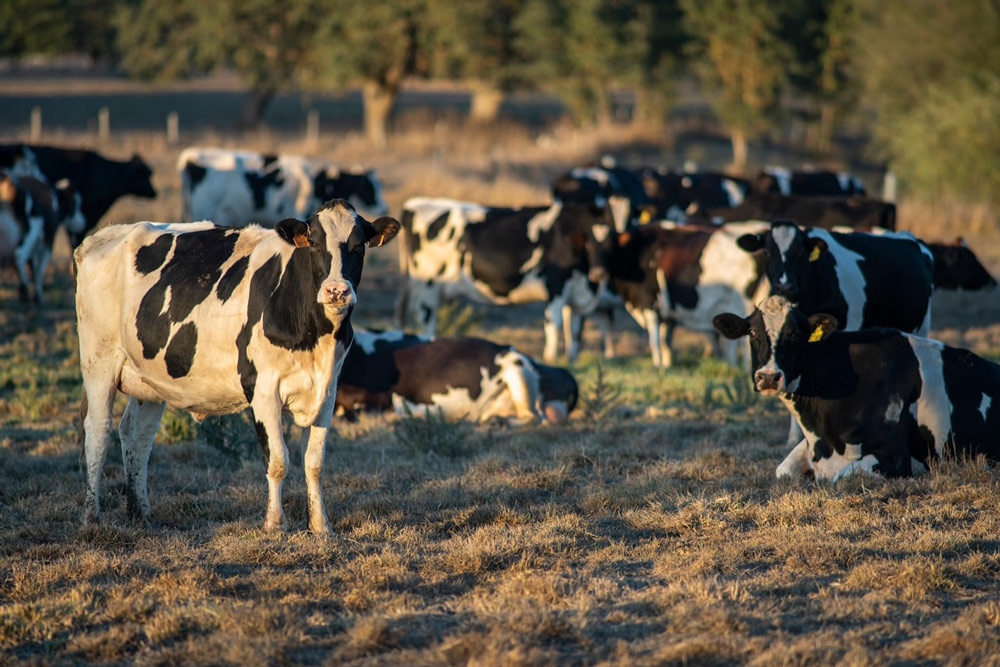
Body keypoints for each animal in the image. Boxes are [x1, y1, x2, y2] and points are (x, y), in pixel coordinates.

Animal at [0, 171, 85, 303]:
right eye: (75, 204)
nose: (83, 223)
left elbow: (32, 266)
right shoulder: (49, 238)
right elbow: (40, 268)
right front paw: (38, 296)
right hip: (31, 229)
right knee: (18, 256)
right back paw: (24, 291)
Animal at [74, 199, 400, 533]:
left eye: (359, 247)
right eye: (314, 244)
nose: (336, 291)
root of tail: (104, 236)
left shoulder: (328, 392)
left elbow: (314, 463)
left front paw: (321, 526)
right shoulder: (263, 390)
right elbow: (278, 461)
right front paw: (274, 524)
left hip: (148, 379)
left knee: (136, 436)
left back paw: (141, 515)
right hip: (99, 361)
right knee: (97, 433)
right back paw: (91, 519)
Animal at [395, 197, 626, 363]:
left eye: (610, 243)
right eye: (589, 242)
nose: (599, 273)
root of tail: (413, 204)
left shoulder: (578, 294)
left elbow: (576, 331)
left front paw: (572, 361)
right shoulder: (555, 286)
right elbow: (554, 325)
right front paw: (551, 359)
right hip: (427, 285)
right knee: (426, 319)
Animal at [714, 295, 1000, 480]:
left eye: (795, 334)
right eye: (752, 333)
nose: (769, 377)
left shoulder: (896, 457)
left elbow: (843, 477)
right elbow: (782, 471)